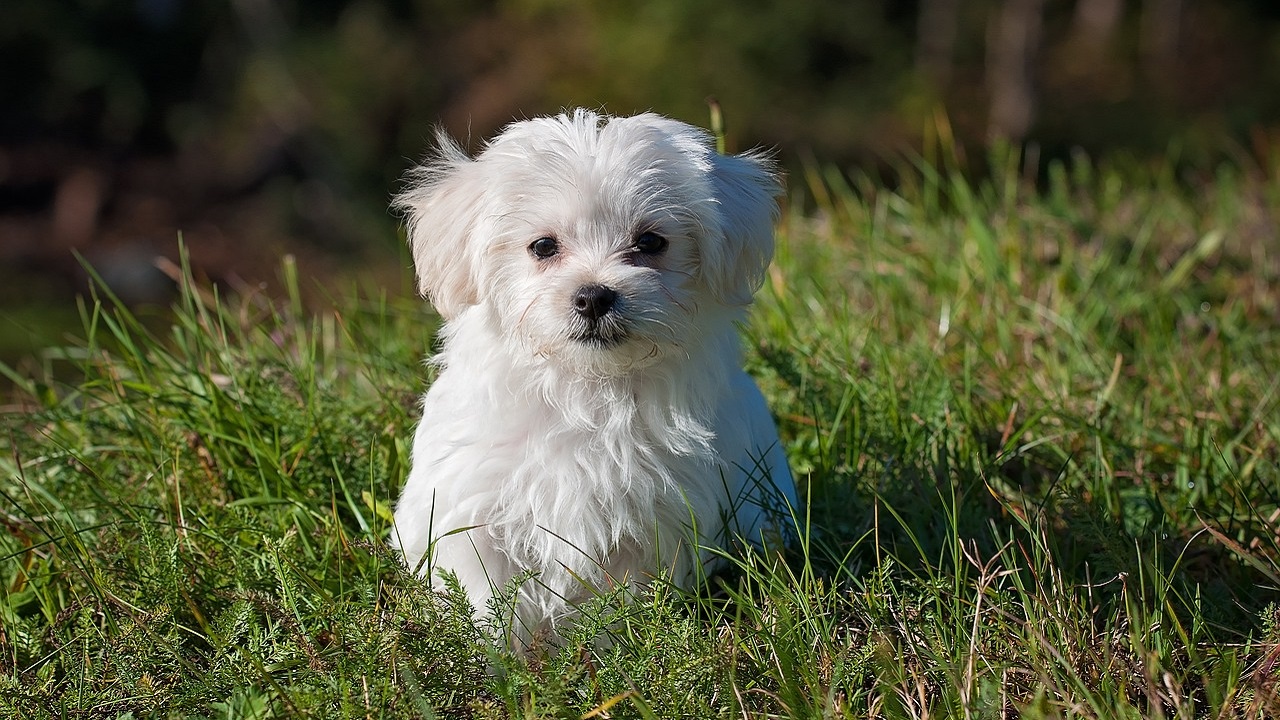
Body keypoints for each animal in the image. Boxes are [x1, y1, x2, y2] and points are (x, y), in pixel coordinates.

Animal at [389, 107, 793, 638]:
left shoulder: (650, 523)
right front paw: (499, 655)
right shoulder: (472, 510)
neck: (587, 388)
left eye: (650, 242)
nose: (594, 296)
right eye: (543, 246)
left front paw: (609, 649)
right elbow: (487, 598)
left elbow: (616, 604)